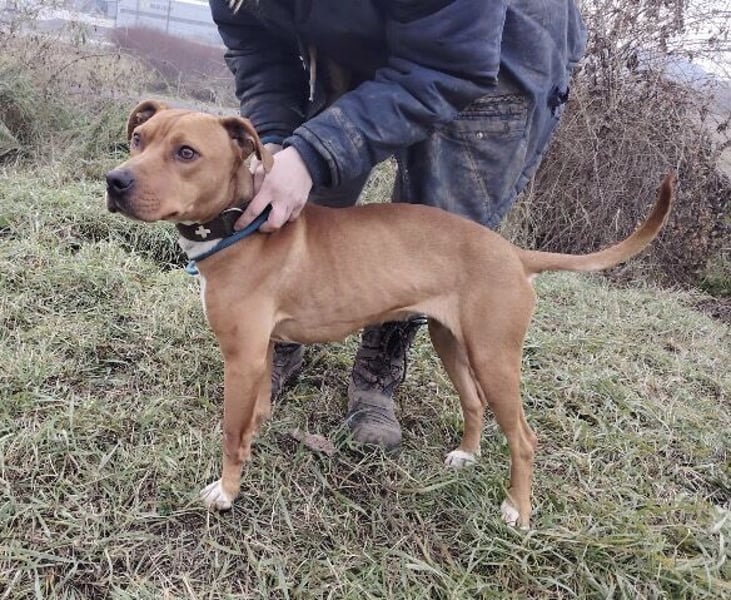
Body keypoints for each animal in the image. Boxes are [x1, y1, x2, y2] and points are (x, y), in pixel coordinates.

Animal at [105, 100, 674, 529]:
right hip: (452, 341)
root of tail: (515, 254)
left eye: (186, 152)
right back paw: (467, 456)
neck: (240, 223)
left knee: (525, 439)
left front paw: (226, 491)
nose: (115, 181)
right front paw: (254, 440)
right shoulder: (260, 352)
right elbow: (254, 414)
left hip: (494, 355)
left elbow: (229, 431)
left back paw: (518, 511)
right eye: (139, 139)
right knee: (474, 403)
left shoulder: (241, 358)